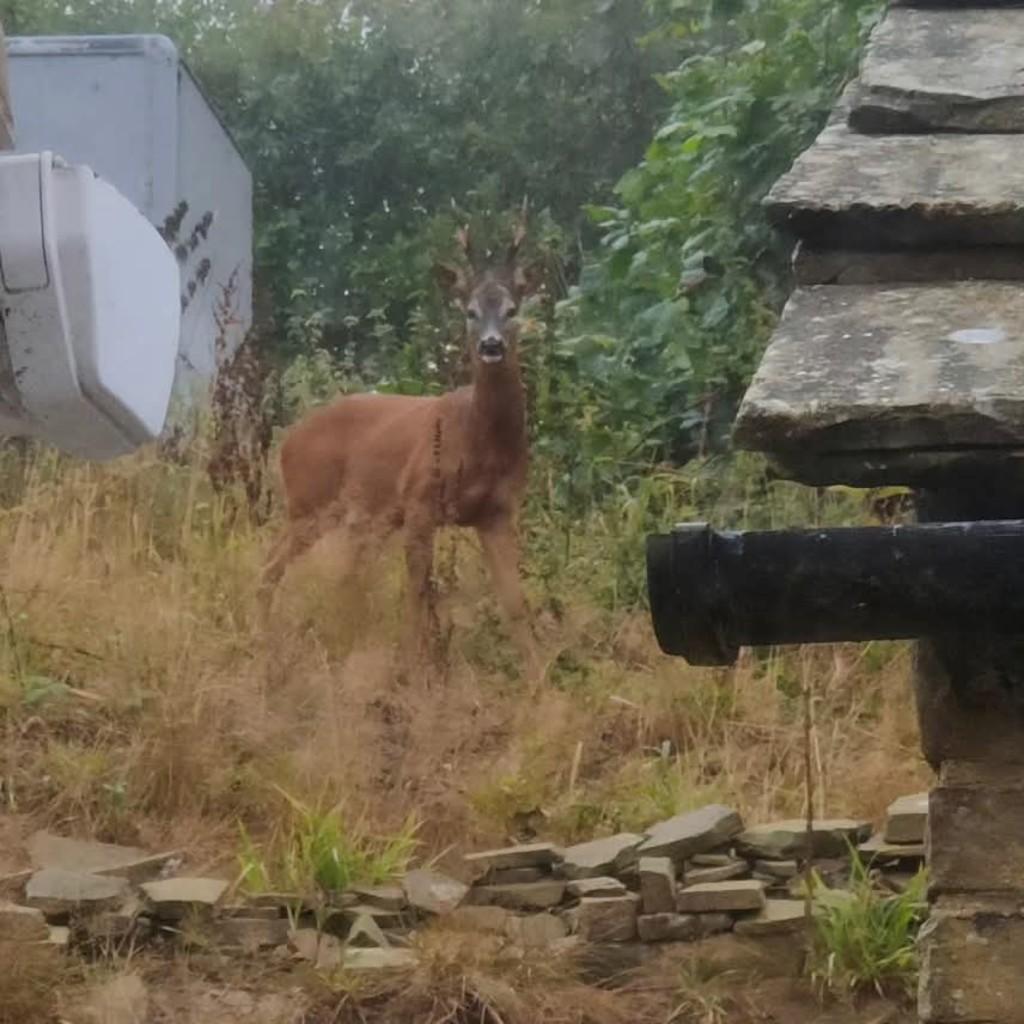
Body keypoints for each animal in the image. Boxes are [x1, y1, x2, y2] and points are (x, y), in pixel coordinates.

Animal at [259, 211, 542, 678]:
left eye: (512, 310)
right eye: (470, 312)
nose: (491, 345)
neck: (477, 439)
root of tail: (287, 441)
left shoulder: (498, 511)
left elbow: (515, 602)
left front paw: (538, 677)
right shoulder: (419, 499)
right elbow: (418, 592)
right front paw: (414, 666)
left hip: (359, 519)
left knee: (345, 579)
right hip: (308, 502)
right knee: (270, 567)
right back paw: (263, 640)